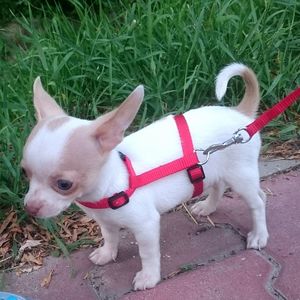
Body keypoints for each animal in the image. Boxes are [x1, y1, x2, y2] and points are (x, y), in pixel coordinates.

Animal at [21, 63, 270, 290]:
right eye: (25, 172)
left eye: (64, 184)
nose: (30, 207)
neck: (113, 182)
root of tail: (241, 114)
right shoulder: (105, 221)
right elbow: (110, 236)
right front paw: (107, 253)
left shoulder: (146, 225)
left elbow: (147, 254)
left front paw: (149, 277)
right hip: (214, 168)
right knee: (218, 186)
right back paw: (207, 207)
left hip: (241, 176)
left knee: (258, 201)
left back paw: (259, 234)